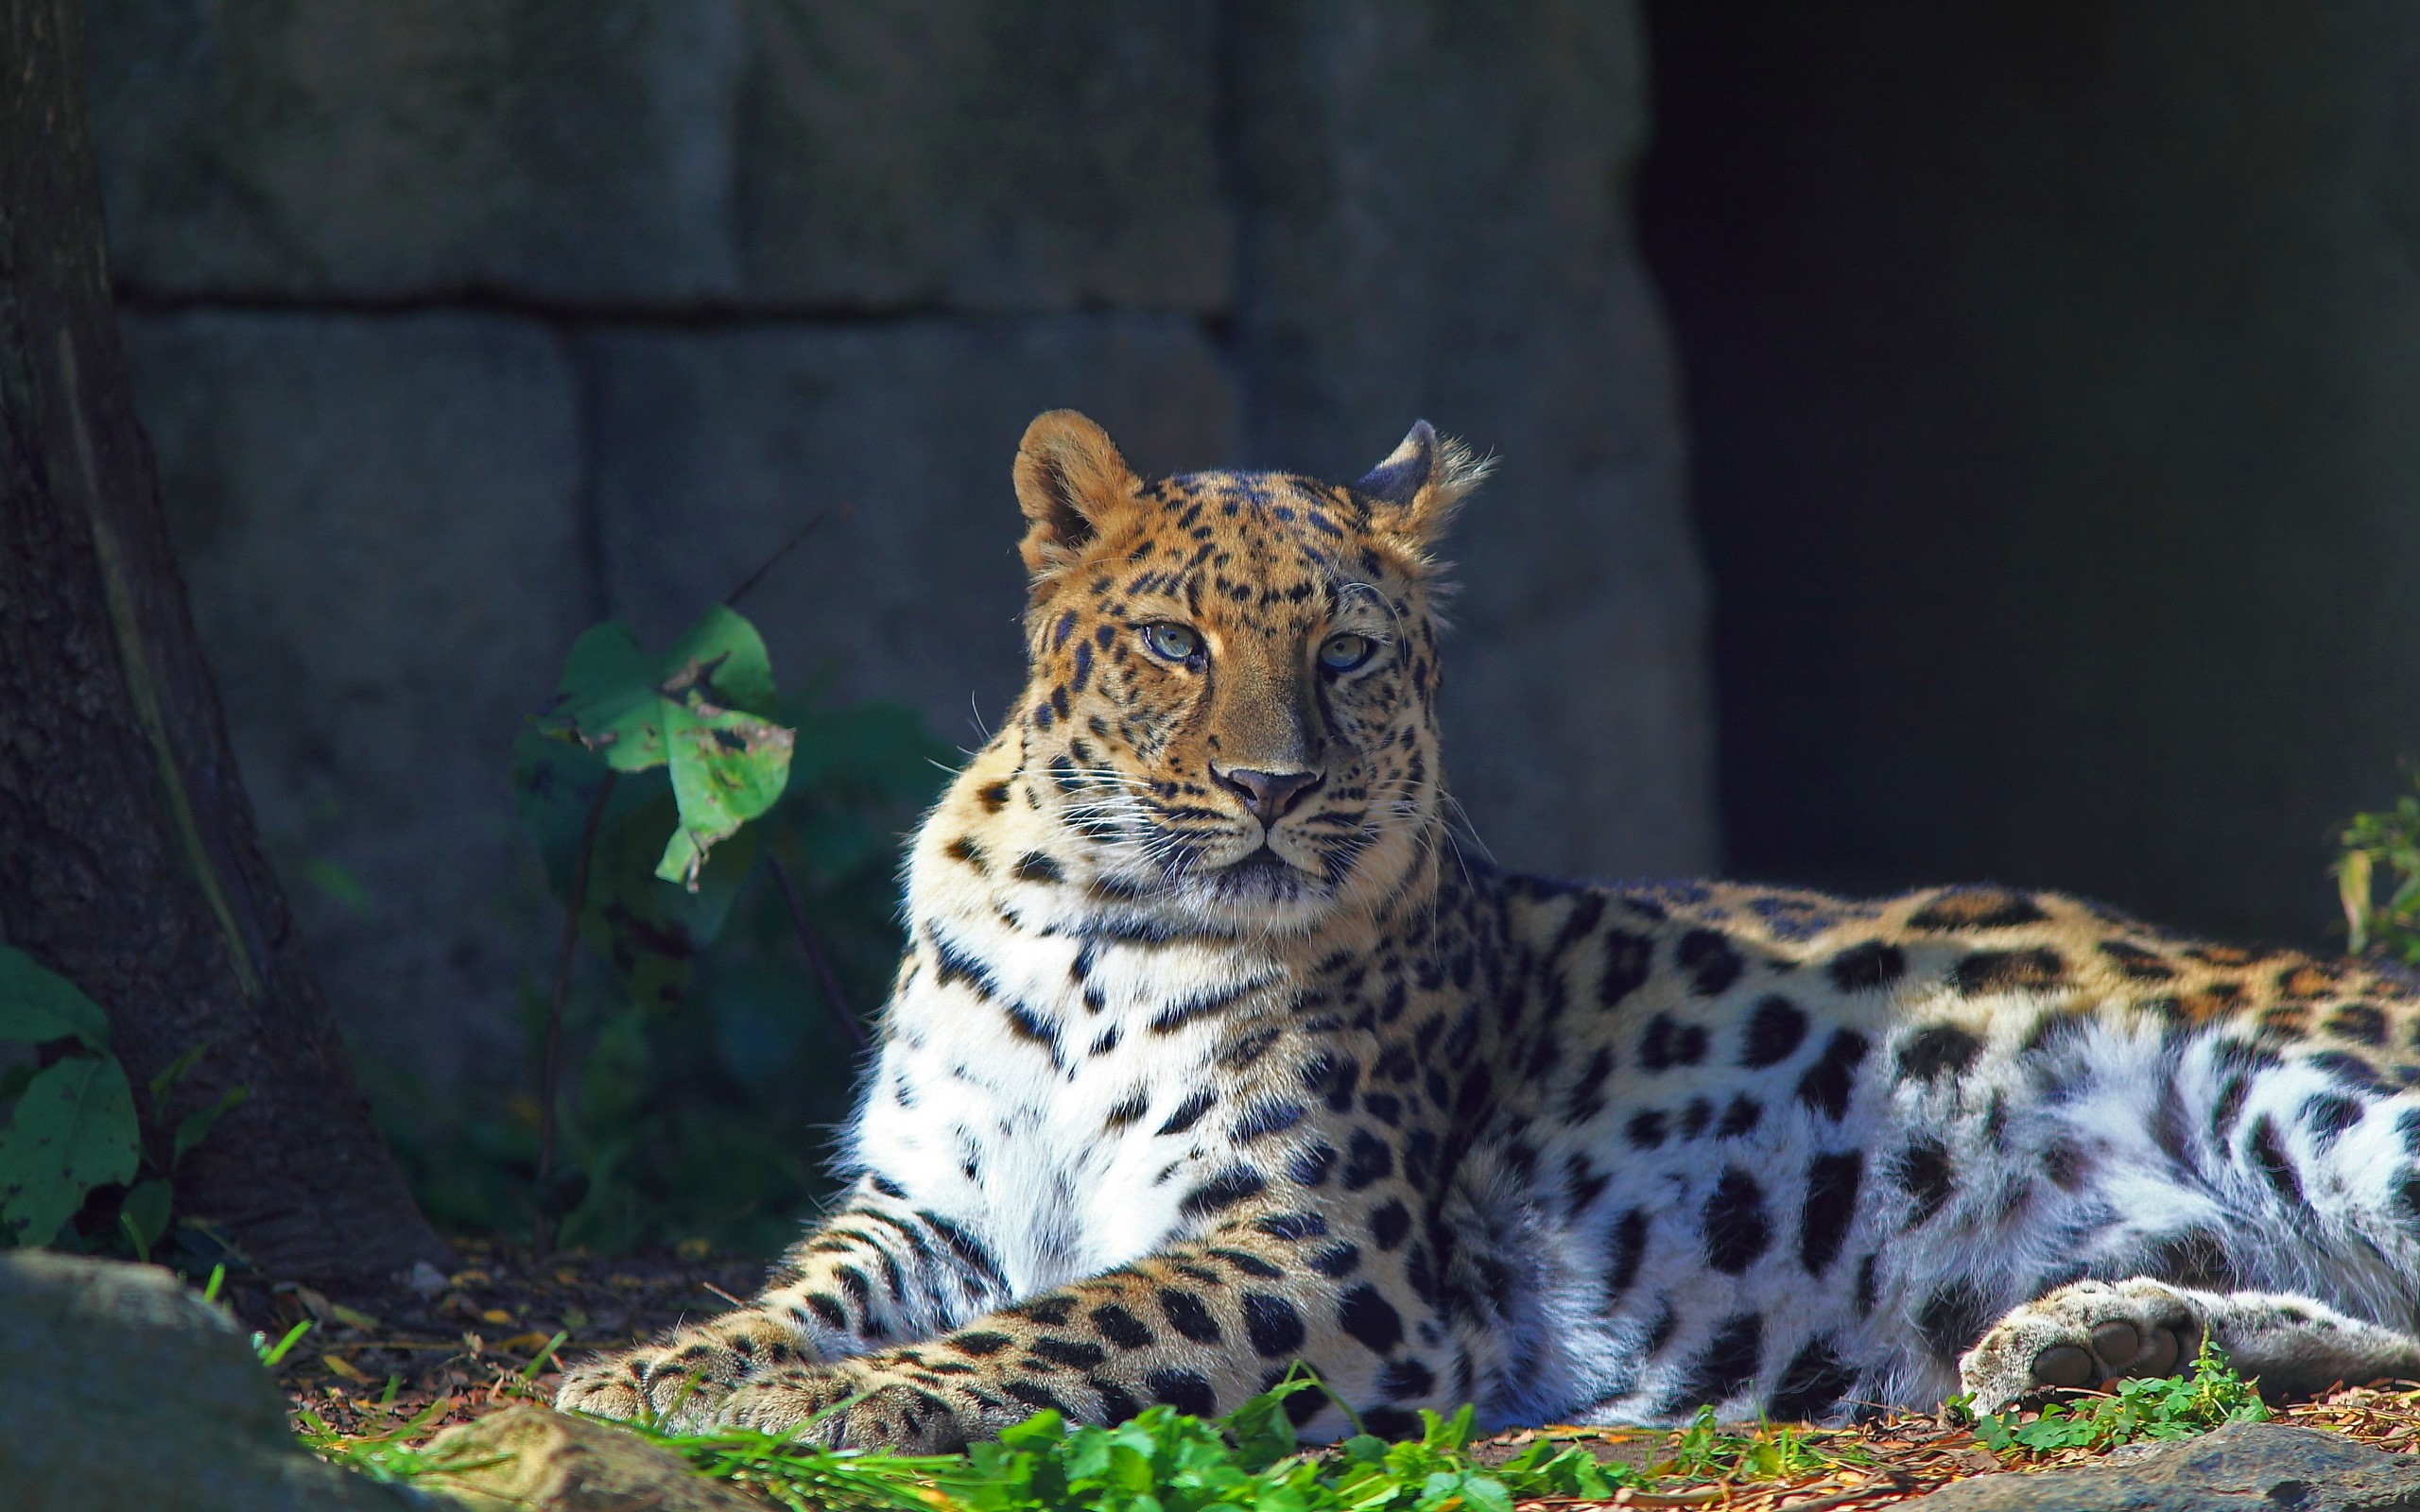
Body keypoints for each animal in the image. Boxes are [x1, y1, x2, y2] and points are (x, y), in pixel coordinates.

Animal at [557, 409, 2420, 1451]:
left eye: (1349, 655)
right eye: (1170, 643)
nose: (1270, 787)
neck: (1100, 922)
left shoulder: (1319, 1250)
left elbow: (1064, 1323)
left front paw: (828, 1405)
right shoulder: (930, 1203)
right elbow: (802, 1287)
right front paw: (662, 1370)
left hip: (2310, 1094)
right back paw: (2087, 1333)